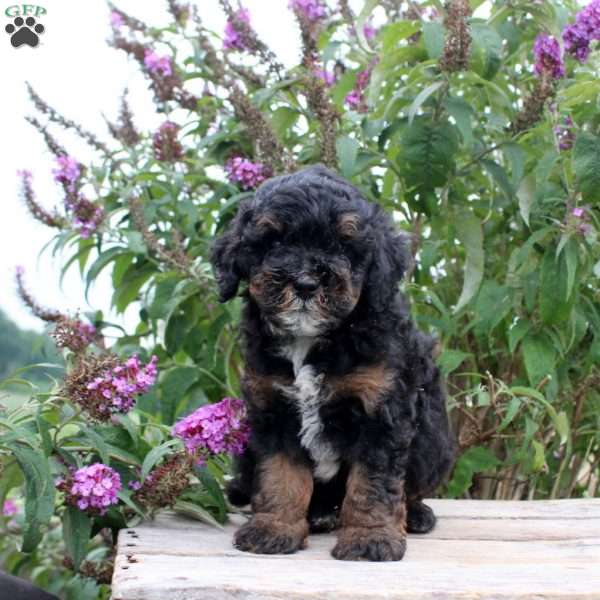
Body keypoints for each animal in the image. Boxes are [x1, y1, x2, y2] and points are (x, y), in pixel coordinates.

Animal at [211, 165, 454, 564]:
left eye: (343, 245)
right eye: (274, 243)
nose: (306, 282)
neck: (312, 340)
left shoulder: (380, 410)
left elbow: (372, 482)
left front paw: (370, 538)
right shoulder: (274, 408)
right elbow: (280, 474)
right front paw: (274, 528)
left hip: (433, 439)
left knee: (413, 484)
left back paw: (415, 514)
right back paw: (317, 515)